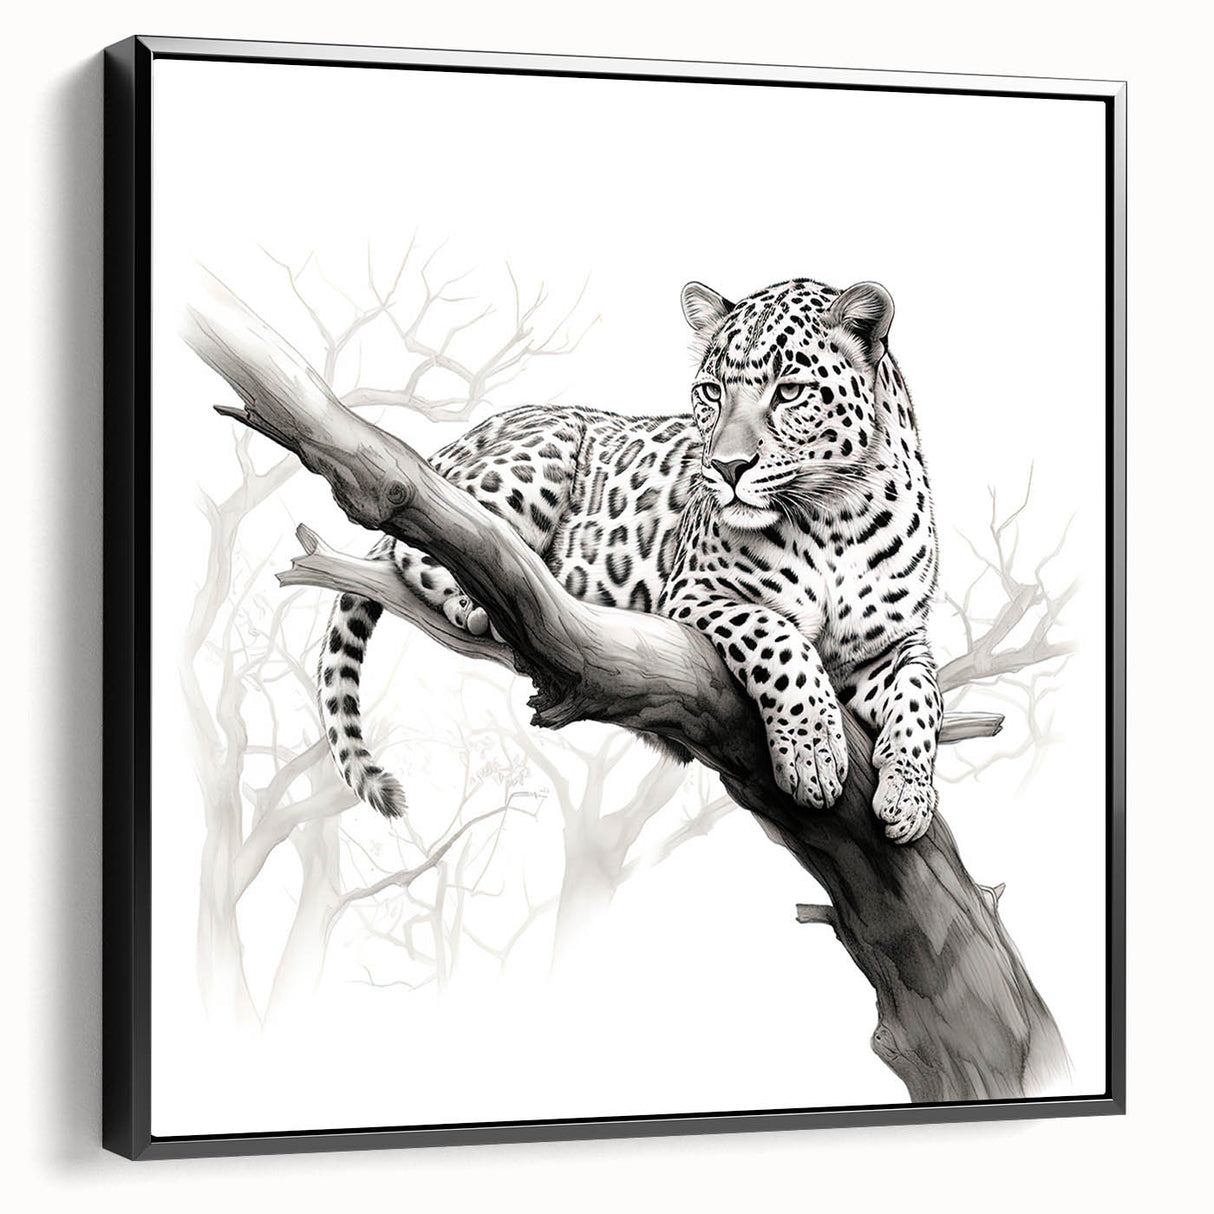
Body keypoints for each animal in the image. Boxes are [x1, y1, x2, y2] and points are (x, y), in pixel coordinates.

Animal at [318, 276, 942, 843]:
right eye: (711, 392)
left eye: (789, 393)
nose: (726, 467)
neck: (837, 519)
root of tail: (463, 437)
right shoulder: (694, 593)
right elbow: (779, 640)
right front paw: (813, 753)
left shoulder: (894, 641)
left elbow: (923, 695)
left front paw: (909, 797)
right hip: (532, 463)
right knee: (434, 535)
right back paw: (479, 599)